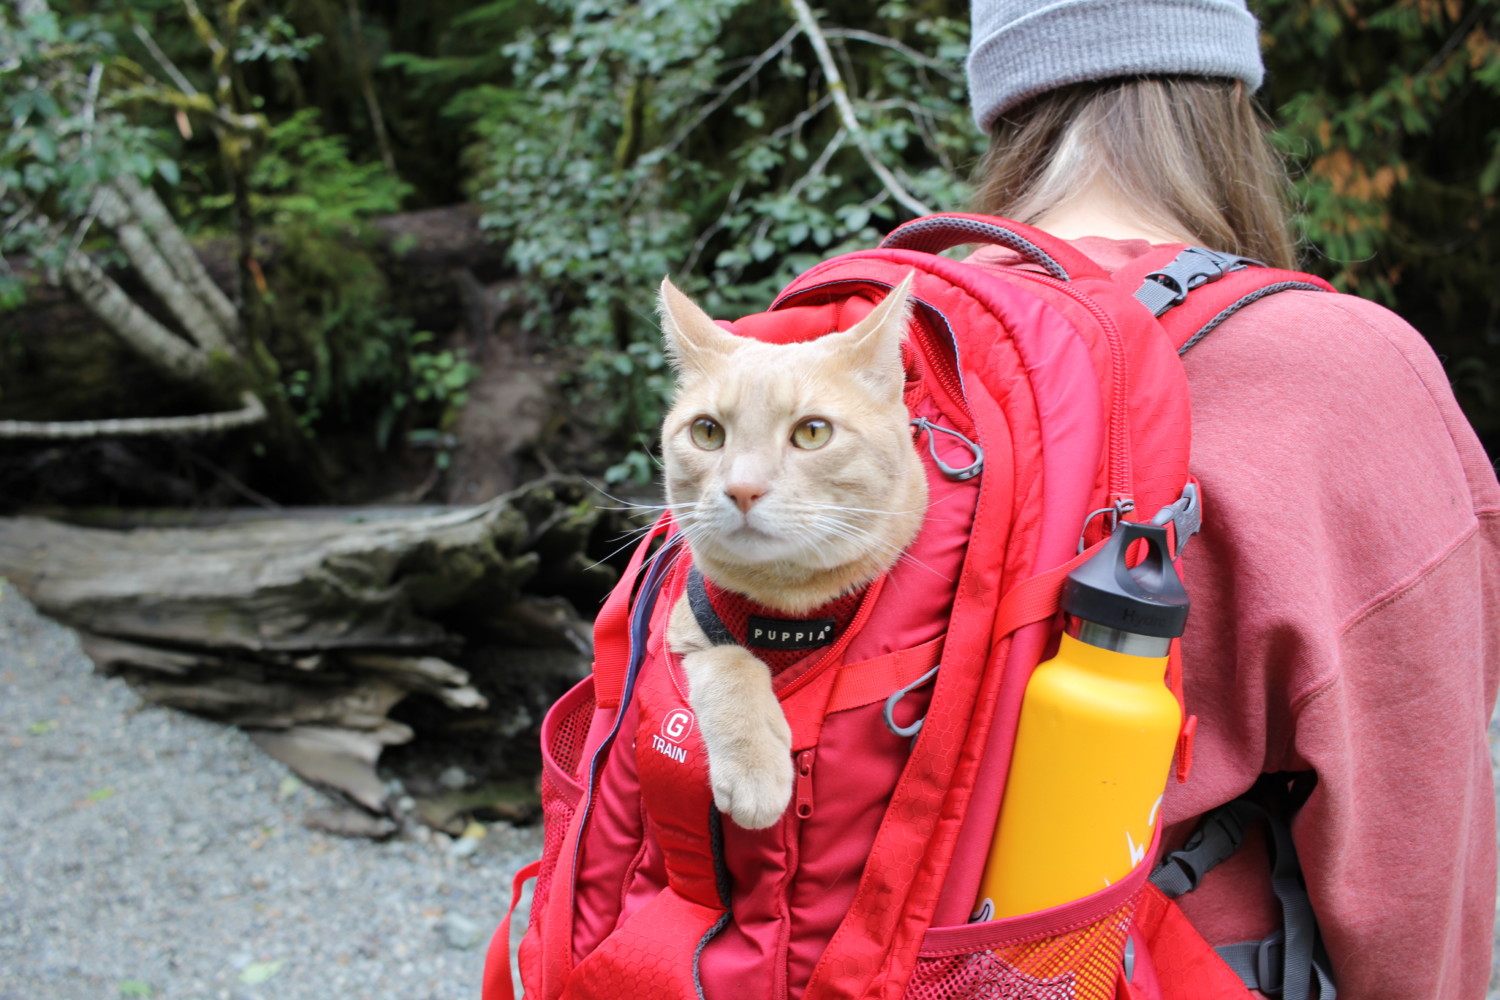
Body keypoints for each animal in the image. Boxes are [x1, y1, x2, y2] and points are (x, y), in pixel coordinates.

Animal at [657, 275, 924, 827]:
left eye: (812, 432)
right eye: (707, 432)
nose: (742, 489)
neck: (786, 600)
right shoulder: (684, 637)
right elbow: (731, 662)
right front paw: (755, 769)